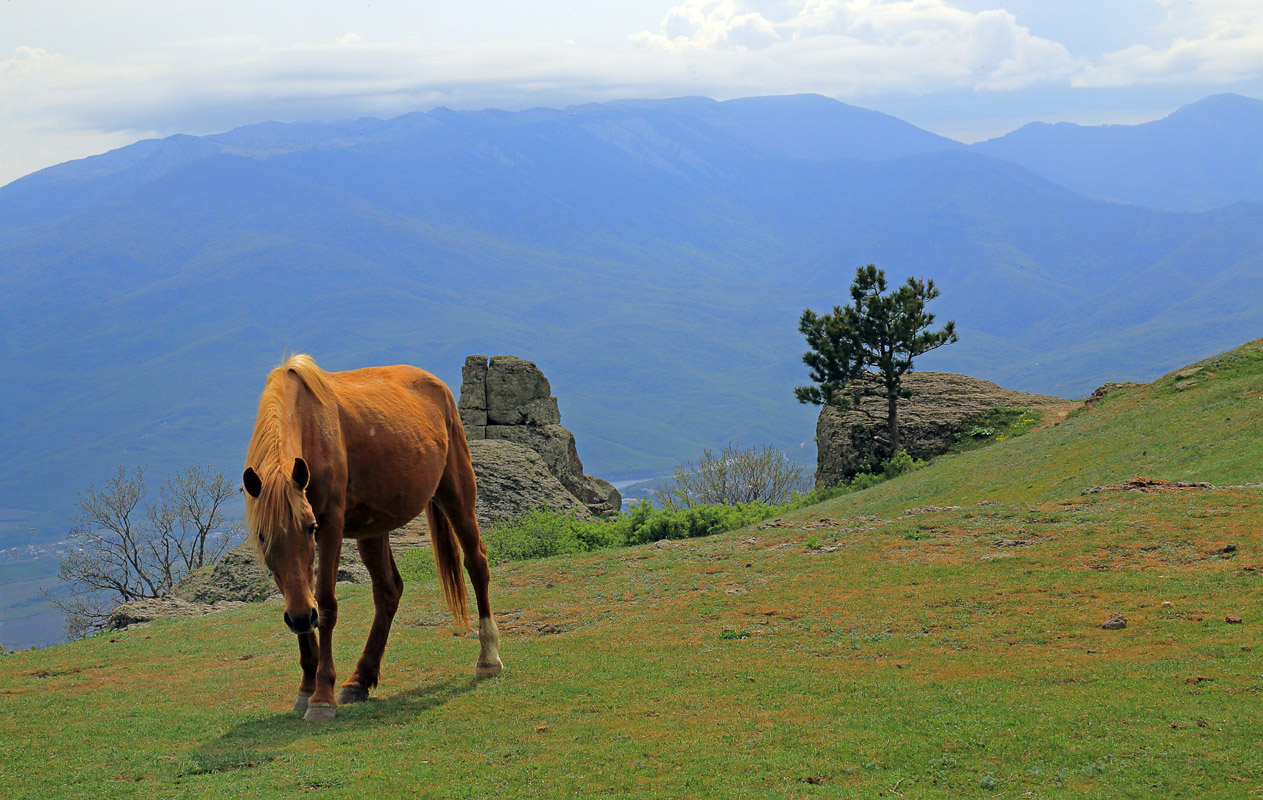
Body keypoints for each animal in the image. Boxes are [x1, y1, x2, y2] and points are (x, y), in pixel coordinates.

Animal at [238, 351, 500, 722]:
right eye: (263, 537)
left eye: (310, 528)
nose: (301, 617)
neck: (308, 424)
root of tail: (437, 386)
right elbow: (299, 598)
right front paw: (306, 688)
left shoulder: (330, 525)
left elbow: (326, 604)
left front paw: (321, 697)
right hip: (373, 530)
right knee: (388, 592)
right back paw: (359, 681)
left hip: (457, 494)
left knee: (476, 564)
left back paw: (488, 659)